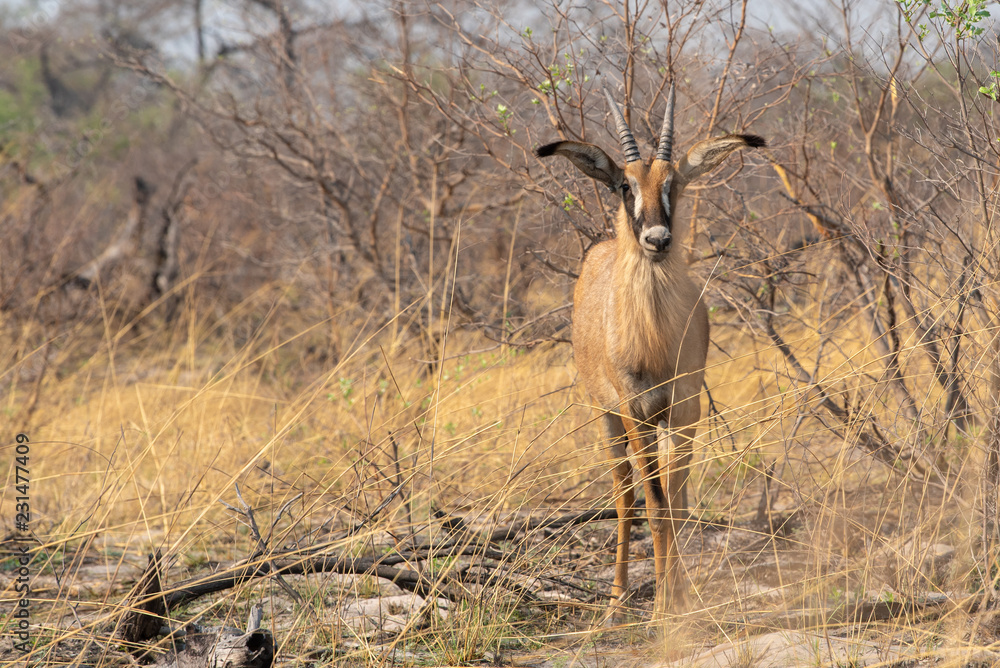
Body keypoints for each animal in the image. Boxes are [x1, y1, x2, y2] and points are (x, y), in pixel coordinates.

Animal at [536, 84, 764, 618]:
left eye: (673, 183)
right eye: (625, 185)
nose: (657, 239)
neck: (654, 337)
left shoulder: (683, 409)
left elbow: (677, 504)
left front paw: (677, 597)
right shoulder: (634, 410)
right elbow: (655, 506)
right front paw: (662, 606)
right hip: (608, 417)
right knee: (624, 496)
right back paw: (618, 598)